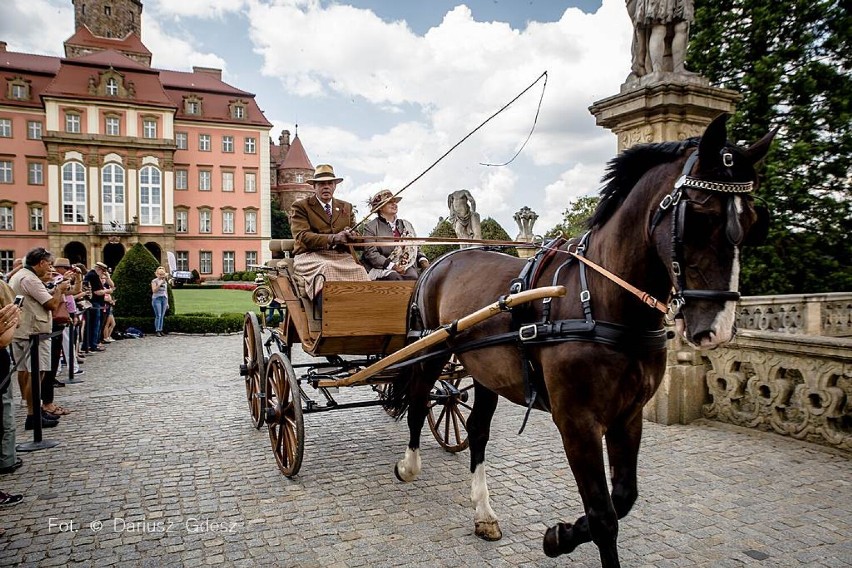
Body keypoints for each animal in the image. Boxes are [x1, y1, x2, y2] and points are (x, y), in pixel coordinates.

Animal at [390, 113, 776, 564]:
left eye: (751, 222)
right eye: (699, 215)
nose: (718, 327)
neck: (603, 302)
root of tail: (443, 259)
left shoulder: (627, 415)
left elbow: (623, 498)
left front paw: (560, 535)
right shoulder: (577, 422)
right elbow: (603, 514)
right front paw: (562, 536)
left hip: (485, 371)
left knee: (477, 429)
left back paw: (484, 512)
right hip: (431, 351)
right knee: (418, 404)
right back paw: (409, 466)